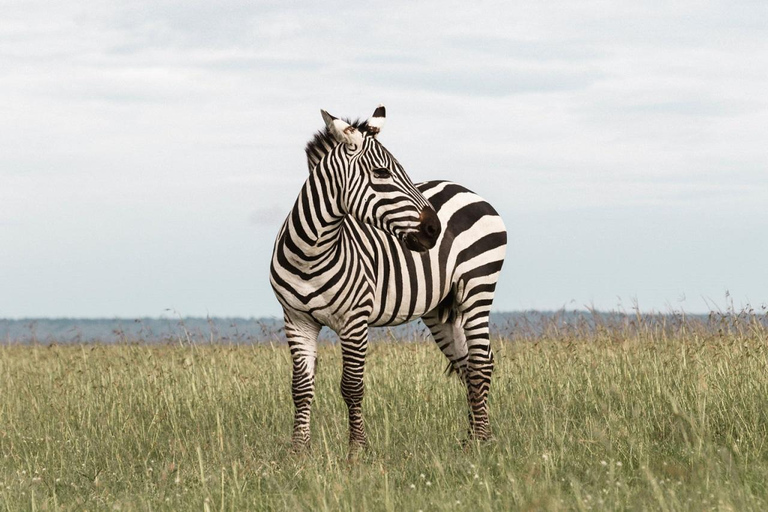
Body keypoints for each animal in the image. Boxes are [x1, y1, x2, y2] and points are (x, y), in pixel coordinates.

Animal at [268, 106, 508, 450]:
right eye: (381, 173)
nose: (434, 229)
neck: (310, 255)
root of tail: (464, 189)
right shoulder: (296, 320)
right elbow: (300, 389)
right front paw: (299, 450)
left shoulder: (354, 320)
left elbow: (352, 386)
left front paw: (357, 449)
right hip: (440, 308)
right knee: (466, 363)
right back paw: (472, 437)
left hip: (477, 288)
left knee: (480, 364)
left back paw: (483, 441)